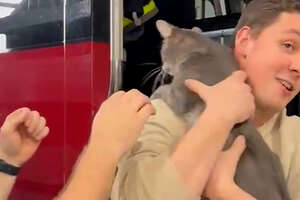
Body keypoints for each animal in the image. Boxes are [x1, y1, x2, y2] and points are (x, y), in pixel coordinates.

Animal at [152, 19, 290, 200]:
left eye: (161, 50)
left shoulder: (182, 93)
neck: (202, 49)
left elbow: (164, 90)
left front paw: (150, 95)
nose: (162, 68)